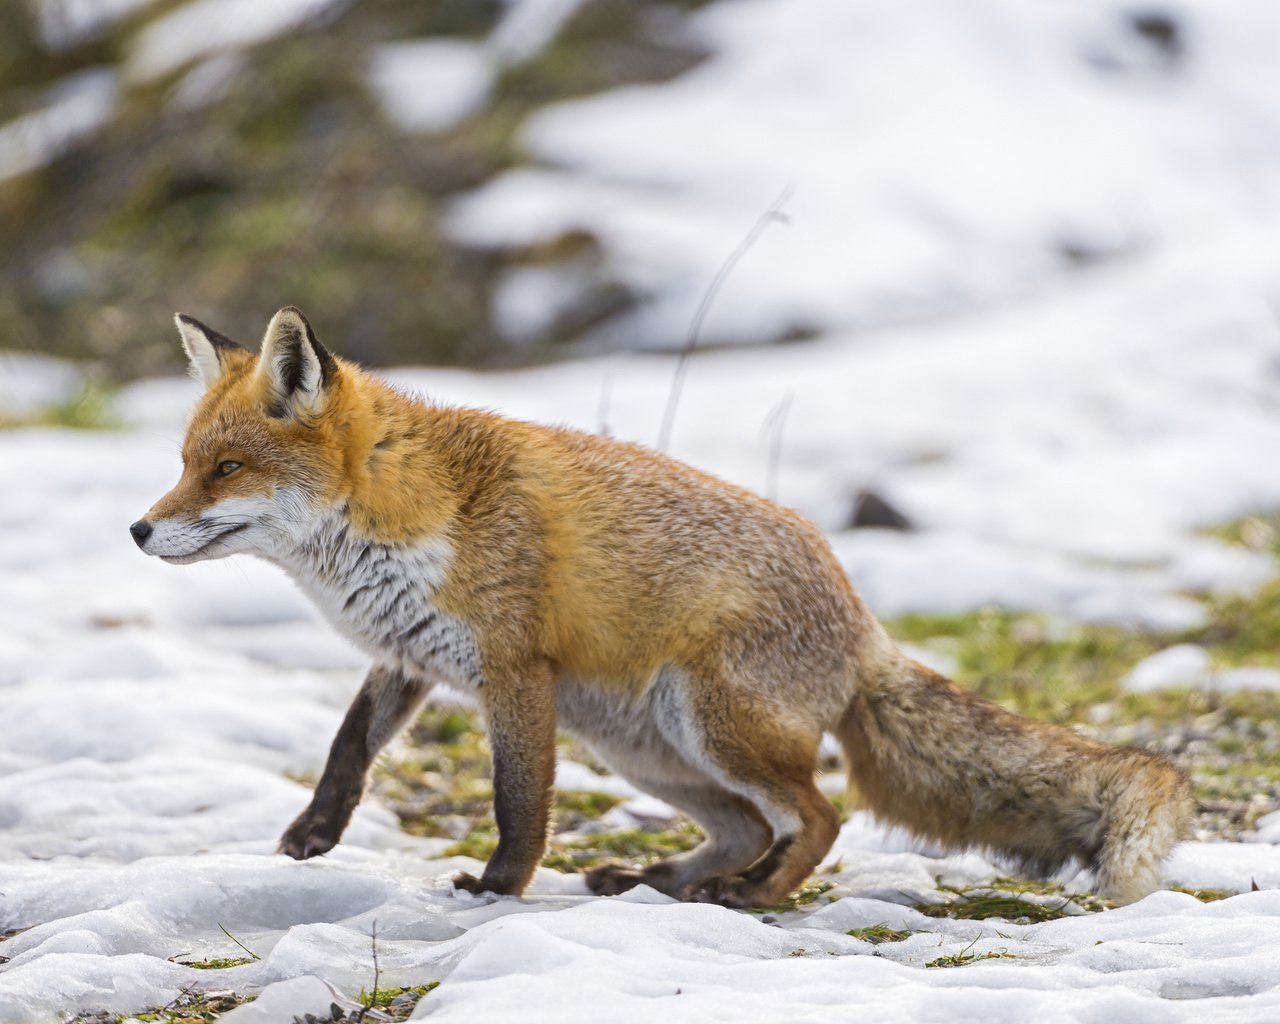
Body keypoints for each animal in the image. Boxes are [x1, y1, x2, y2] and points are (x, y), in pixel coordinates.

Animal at [135, 308, 1192, 906]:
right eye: (184, 463)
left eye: (224, 469)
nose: (139, 531)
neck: (404, 508)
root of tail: (861, 622)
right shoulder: (411, 655)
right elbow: (347, 749)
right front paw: (312, 837)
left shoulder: (512, 671)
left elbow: (519, 803)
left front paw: (498, 889)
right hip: (643, 747)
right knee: (750, 826)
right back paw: (665, 881)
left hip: (707, 721)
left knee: (817, 819)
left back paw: (751, 897)